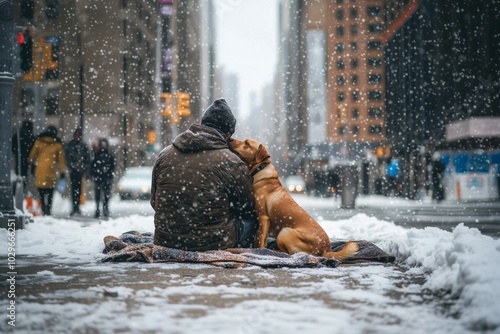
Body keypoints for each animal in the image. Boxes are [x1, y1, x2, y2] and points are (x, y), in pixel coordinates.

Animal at [230, 137, 360, 262]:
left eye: (247, 143)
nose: (230, 139)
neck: (260, 169)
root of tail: (325, 249)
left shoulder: (263, 217)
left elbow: (260, 241)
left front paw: (260, 251)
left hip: (284, 232)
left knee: (291, 253)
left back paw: (275, 251)